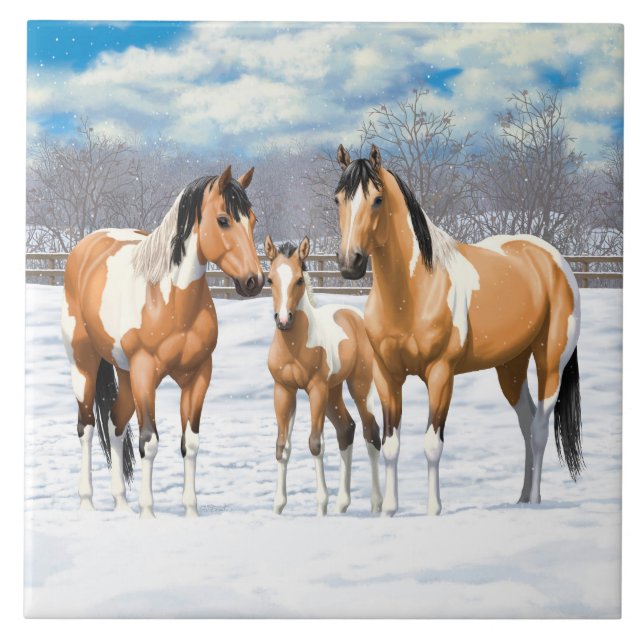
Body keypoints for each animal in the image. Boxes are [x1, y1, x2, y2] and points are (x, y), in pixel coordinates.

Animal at [61, 166, 264, 518]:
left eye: (251, 220)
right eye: (223, 220)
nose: (255, 281)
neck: (169, 299)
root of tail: (85, 247)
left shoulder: (198, 375)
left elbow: (191, 443)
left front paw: (191, 512)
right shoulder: (145, 373)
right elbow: (149, 442)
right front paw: (148, 513)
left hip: (125, 374)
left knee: (114, 423)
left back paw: (120, 503)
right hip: (84, 364)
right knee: (86, 427)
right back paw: (87, 502)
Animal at [264, 235, 383, 516]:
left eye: (299, 279)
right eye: (270, 279)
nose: (283, 320)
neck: (295, 346)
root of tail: (355, 315)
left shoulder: (315, 389)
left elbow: (315, 443)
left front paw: (321, 506)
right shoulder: (283, 390)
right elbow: (282, 446)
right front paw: (278, 506)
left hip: (359, 386)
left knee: (370, 431)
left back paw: (376, 504)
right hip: (333, 393)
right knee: (346, 429)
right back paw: (342, 504)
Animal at [333, 143, 583, 516]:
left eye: (376, 199)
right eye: (337, 199)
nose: (351, 263)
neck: (413, 291)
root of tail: (554, 259)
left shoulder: (441, 374)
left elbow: (431, 444)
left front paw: (433, 509)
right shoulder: (386, 375)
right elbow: (391, 444)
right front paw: (389, 510)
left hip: (550, 363)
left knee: (539, 428)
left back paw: (536, 500)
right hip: (510, 367)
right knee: (526, 423)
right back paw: (522, 497)